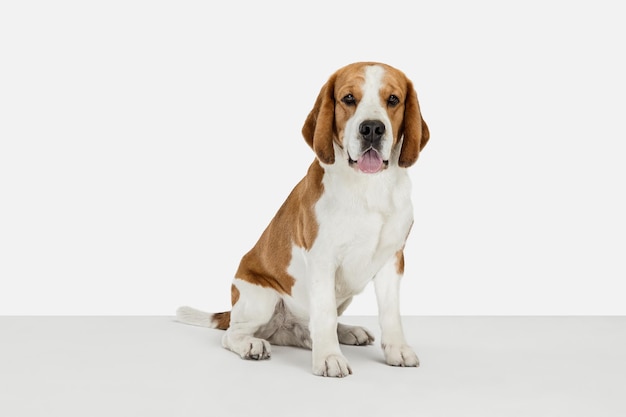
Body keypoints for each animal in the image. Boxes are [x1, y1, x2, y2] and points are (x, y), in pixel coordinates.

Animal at [178, 61, 426, 376]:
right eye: (348, 98)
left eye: (393, 99)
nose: (372, 129)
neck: (369, 188)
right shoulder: (322, 260)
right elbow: (324, 316)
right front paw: (329, 357)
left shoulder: (392, 259)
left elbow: (391, 314)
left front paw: (397, 350)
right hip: (262, 298)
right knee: (233, 333)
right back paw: (252, 344)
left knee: (306, 330)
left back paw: (347, 331)